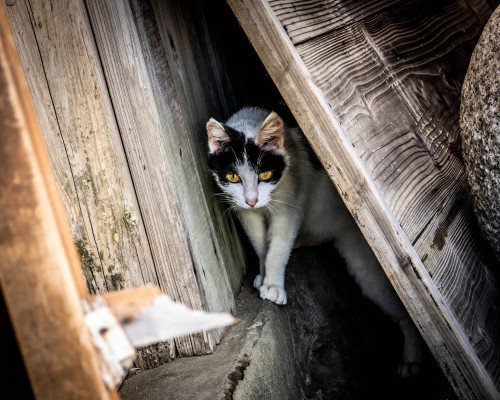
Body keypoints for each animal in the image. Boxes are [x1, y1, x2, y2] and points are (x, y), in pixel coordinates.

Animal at [207, 107, 422, 378]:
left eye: (265, 174)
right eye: (233, 177)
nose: (252, 200)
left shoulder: (291, 205)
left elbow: (277, 247)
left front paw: (273, 285)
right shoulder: (245, 213)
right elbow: (261, 245)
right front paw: (263, 275)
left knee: (408, 315)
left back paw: (412, 358)